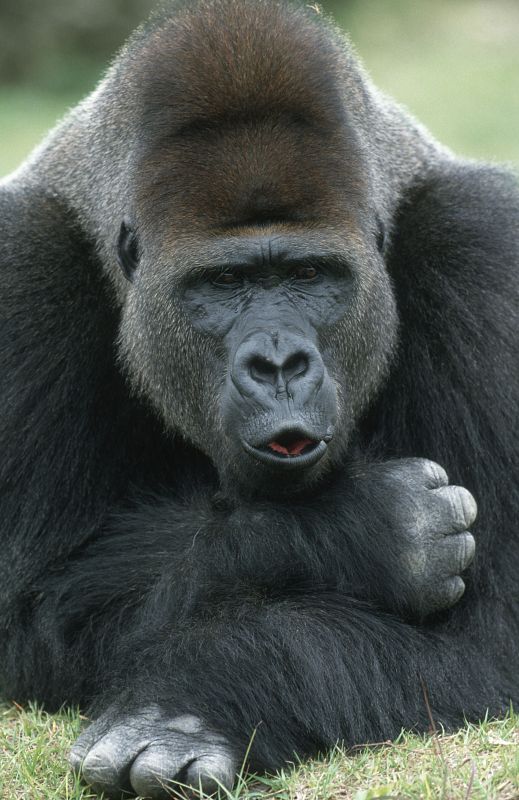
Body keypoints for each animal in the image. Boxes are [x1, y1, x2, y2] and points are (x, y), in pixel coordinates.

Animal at [1, 1, 518, 797]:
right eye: (225, 283)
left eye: (307, 274)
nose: (278, 364)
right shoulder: (18, 264)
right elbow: (28, 608)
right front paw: (361, 531)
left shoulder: (485, 248)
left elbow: (487, 631)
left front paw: (190, 704)